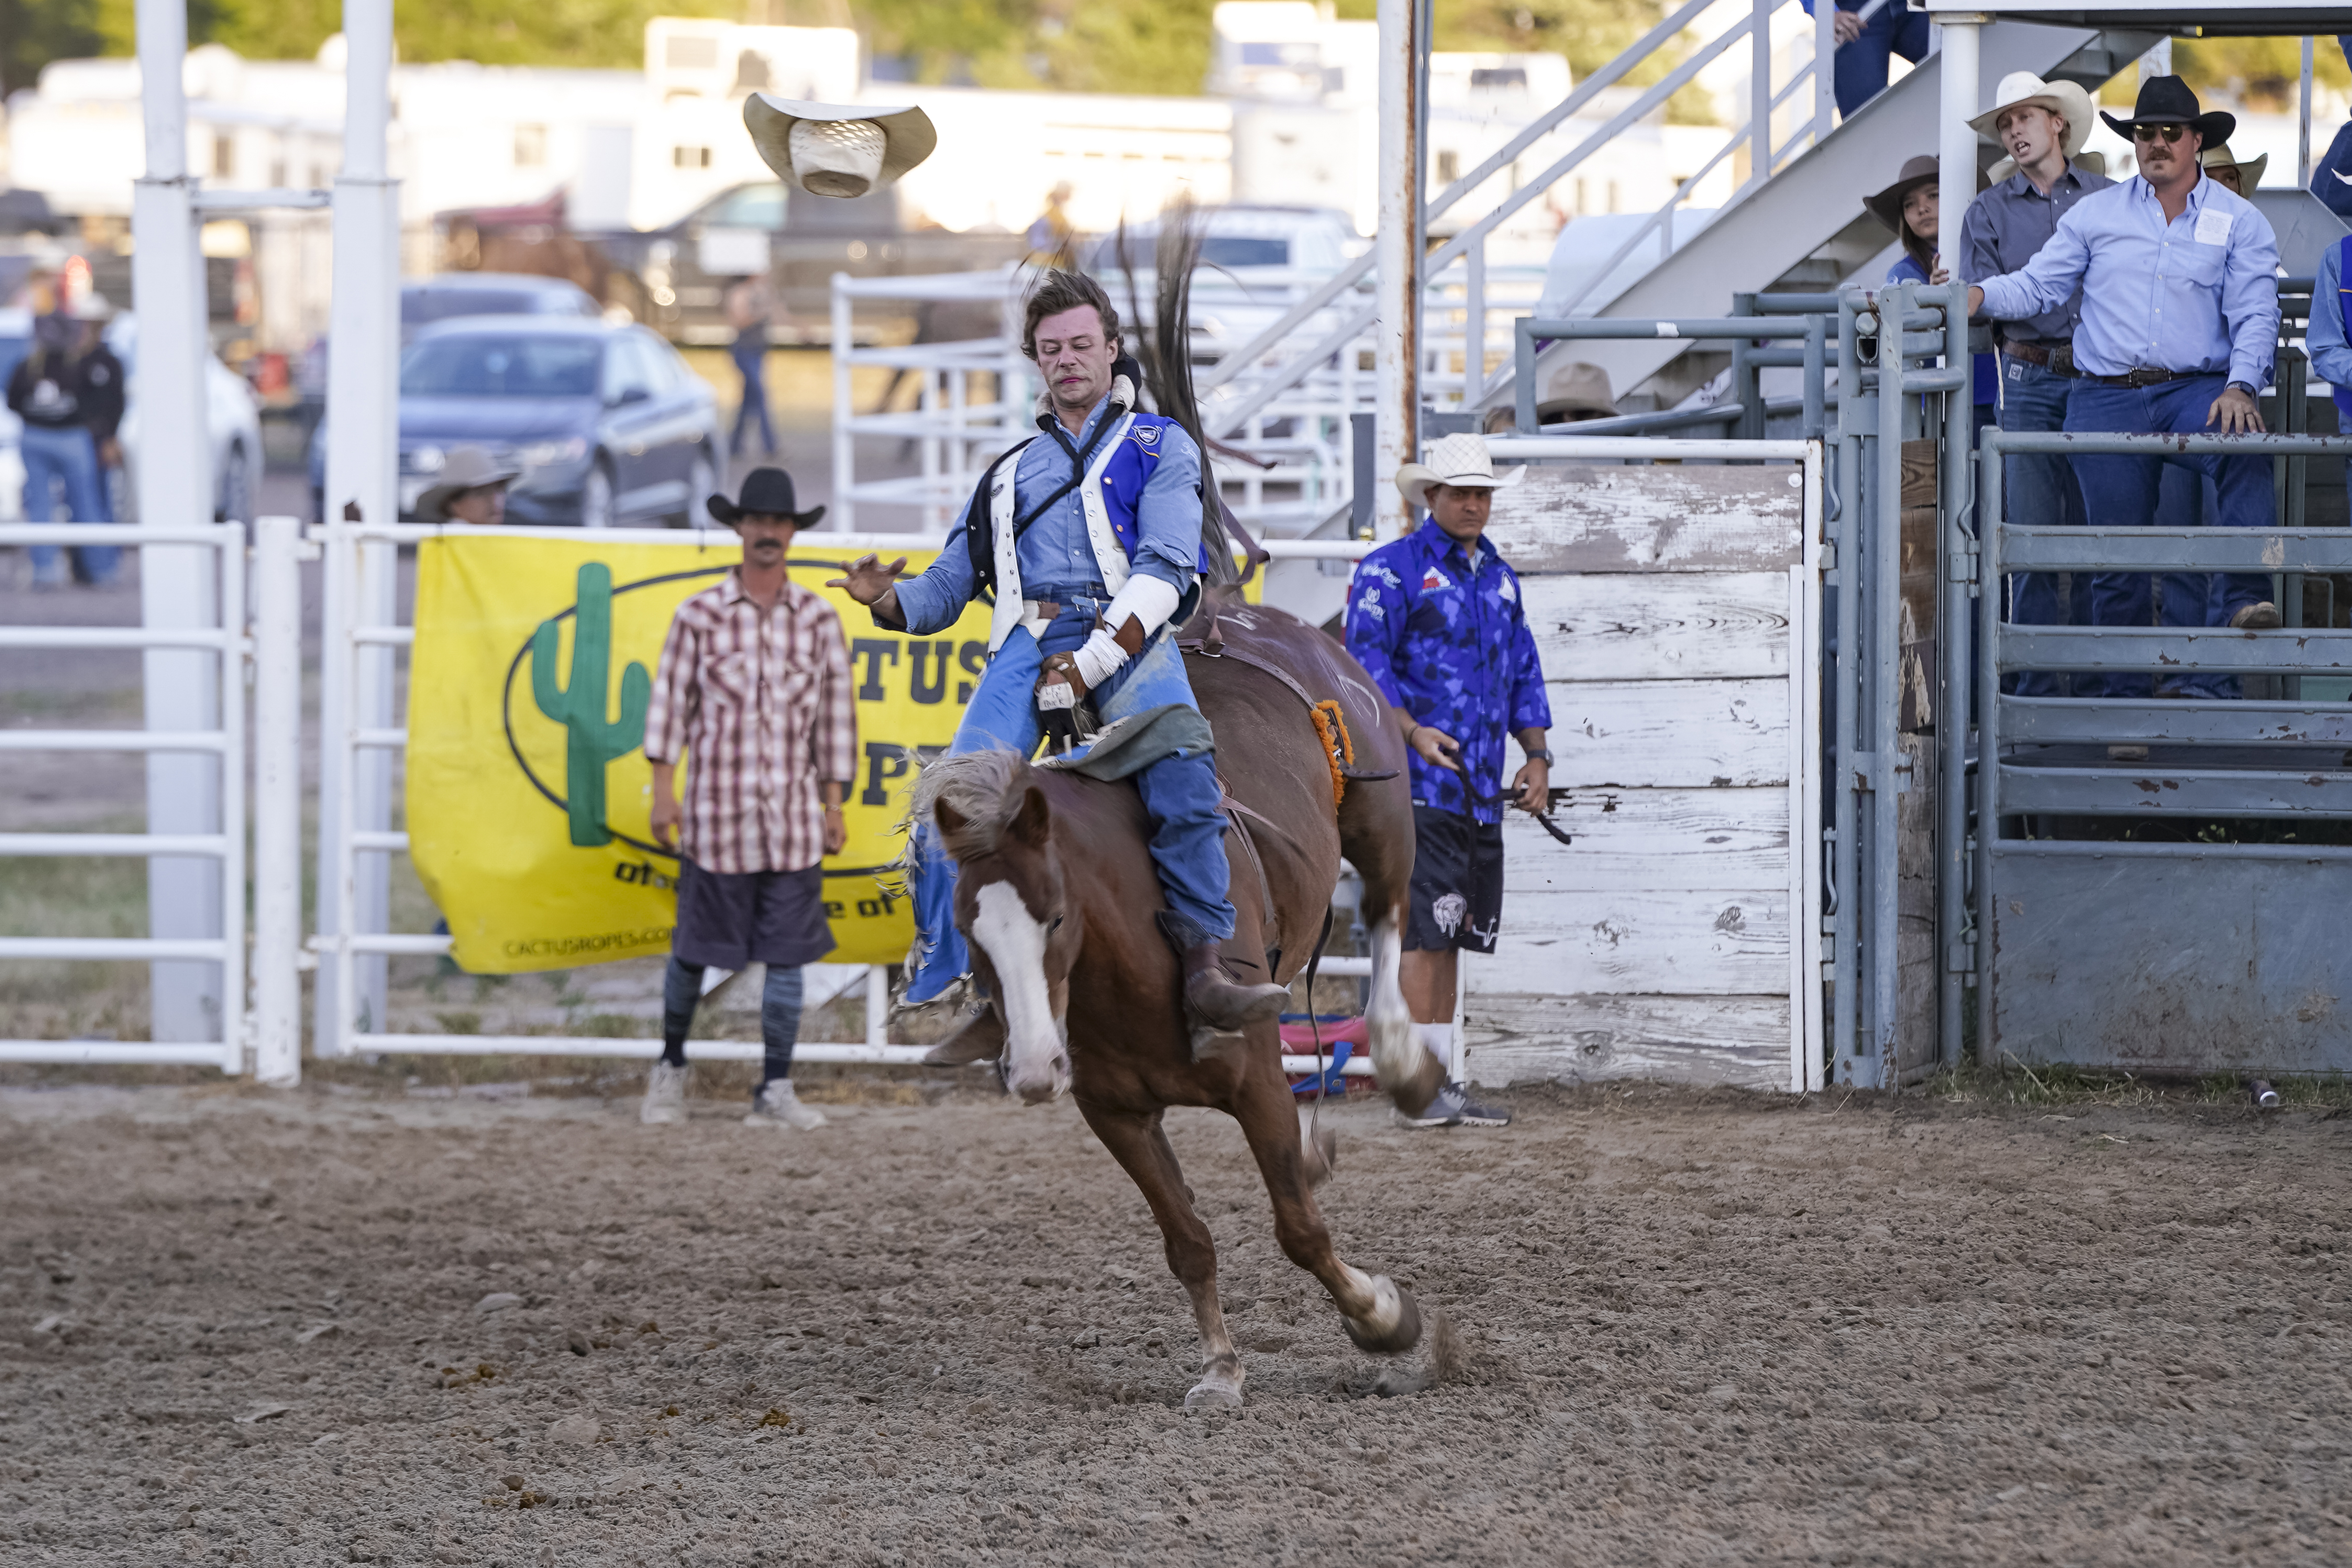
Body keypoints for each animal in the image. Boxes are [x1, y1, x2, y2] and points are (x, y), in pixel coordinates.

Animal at [912, 597, 1430, 1410]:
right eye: (968, 930)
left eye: (1056, 916)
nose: (1032, 1070)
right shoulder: (1116, 1114)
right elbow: (1188, 1240)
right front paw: (1221, 1367)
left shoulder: (1258, 1083)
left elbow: (1299, 1230)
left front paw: (1382, 1317)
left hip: (1382, 819)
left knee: (1387, 917)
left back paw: (1406, 1061)